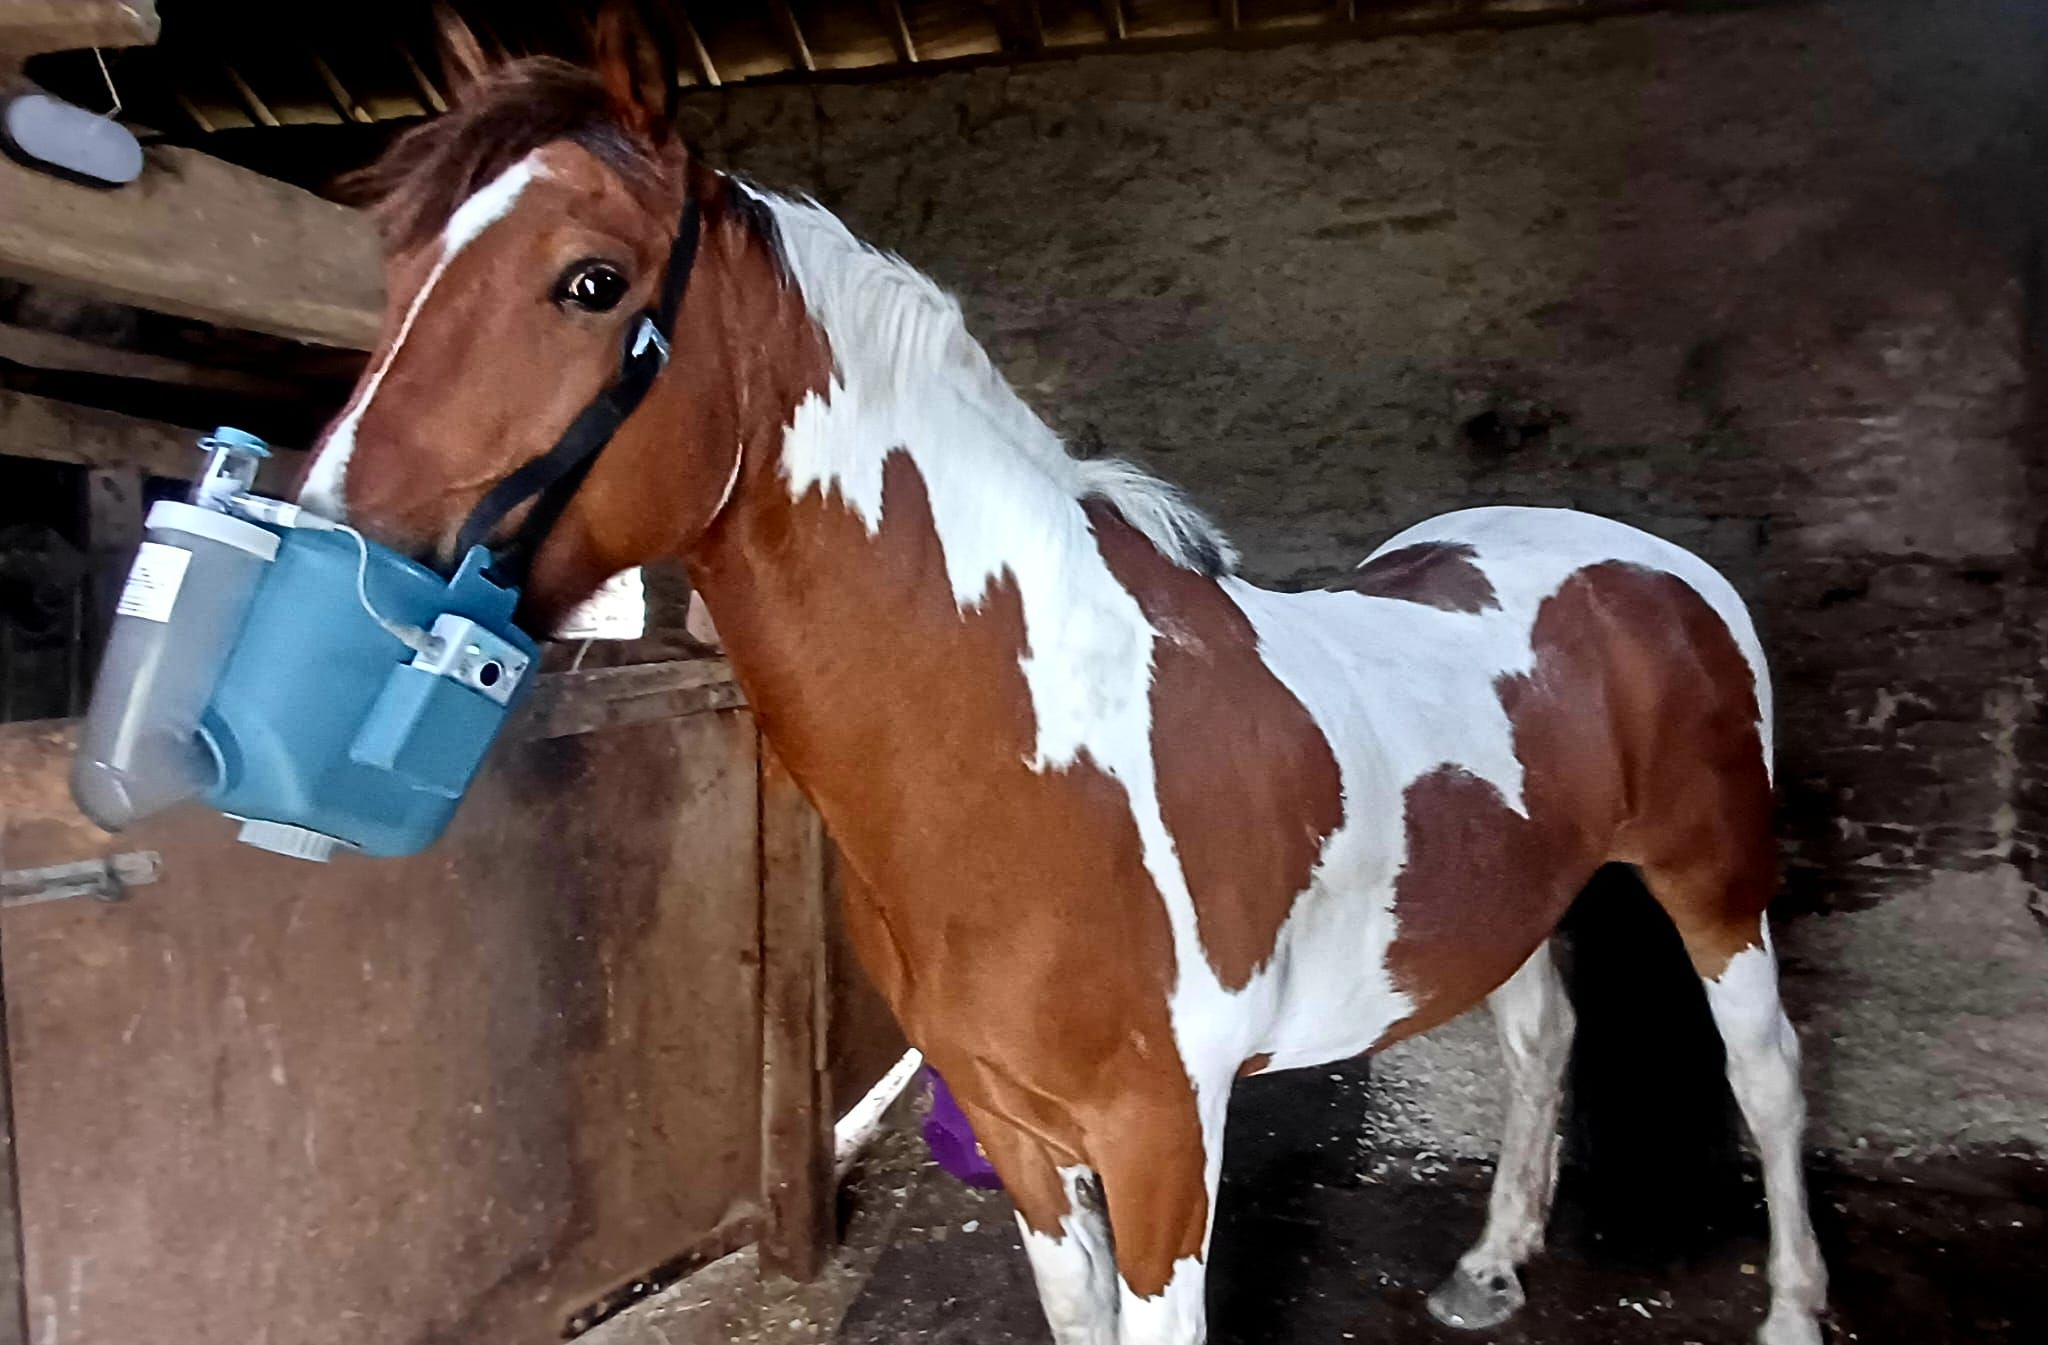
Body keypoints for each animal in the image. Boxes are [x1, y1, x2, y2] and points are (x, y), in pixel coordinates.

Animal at [299, 16, 1827, 1345]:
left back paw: (1794, 1309)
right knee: (1542, 1040)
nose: (335, 552)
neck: (1028, 751)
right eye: (397, 267)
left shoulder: (1163, 1146)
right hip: (1511, 903)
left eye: (590, 282)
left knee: (1766, 1078)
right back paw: (1492, 1264)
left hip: (1715, 885)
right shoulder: (1025, 1137)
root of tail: (1644, 561)